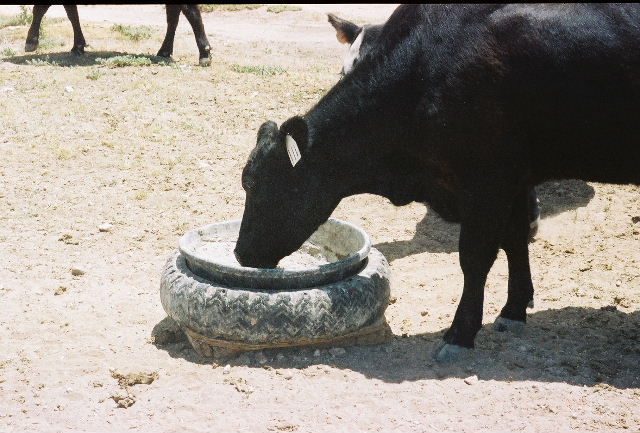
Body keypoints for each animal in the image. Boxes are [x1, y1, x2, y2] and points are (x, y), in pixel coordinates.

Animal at [25, 4, 211, 66]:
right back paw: (164, 51)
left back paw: (205, 54)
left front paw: (31, 41)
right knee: (174, 17)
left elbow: (39, 9)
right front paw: (78, 46)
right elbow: (72, 14)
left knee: (190, 13)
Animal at [235, 4, 640, 362]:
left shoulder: (487, 181)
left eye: (257, 184)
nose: (241, 254)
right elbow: (514, 240)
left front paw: (460, 334)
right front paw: (513, 309)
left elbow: (475, 258)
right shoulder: (510, 179)